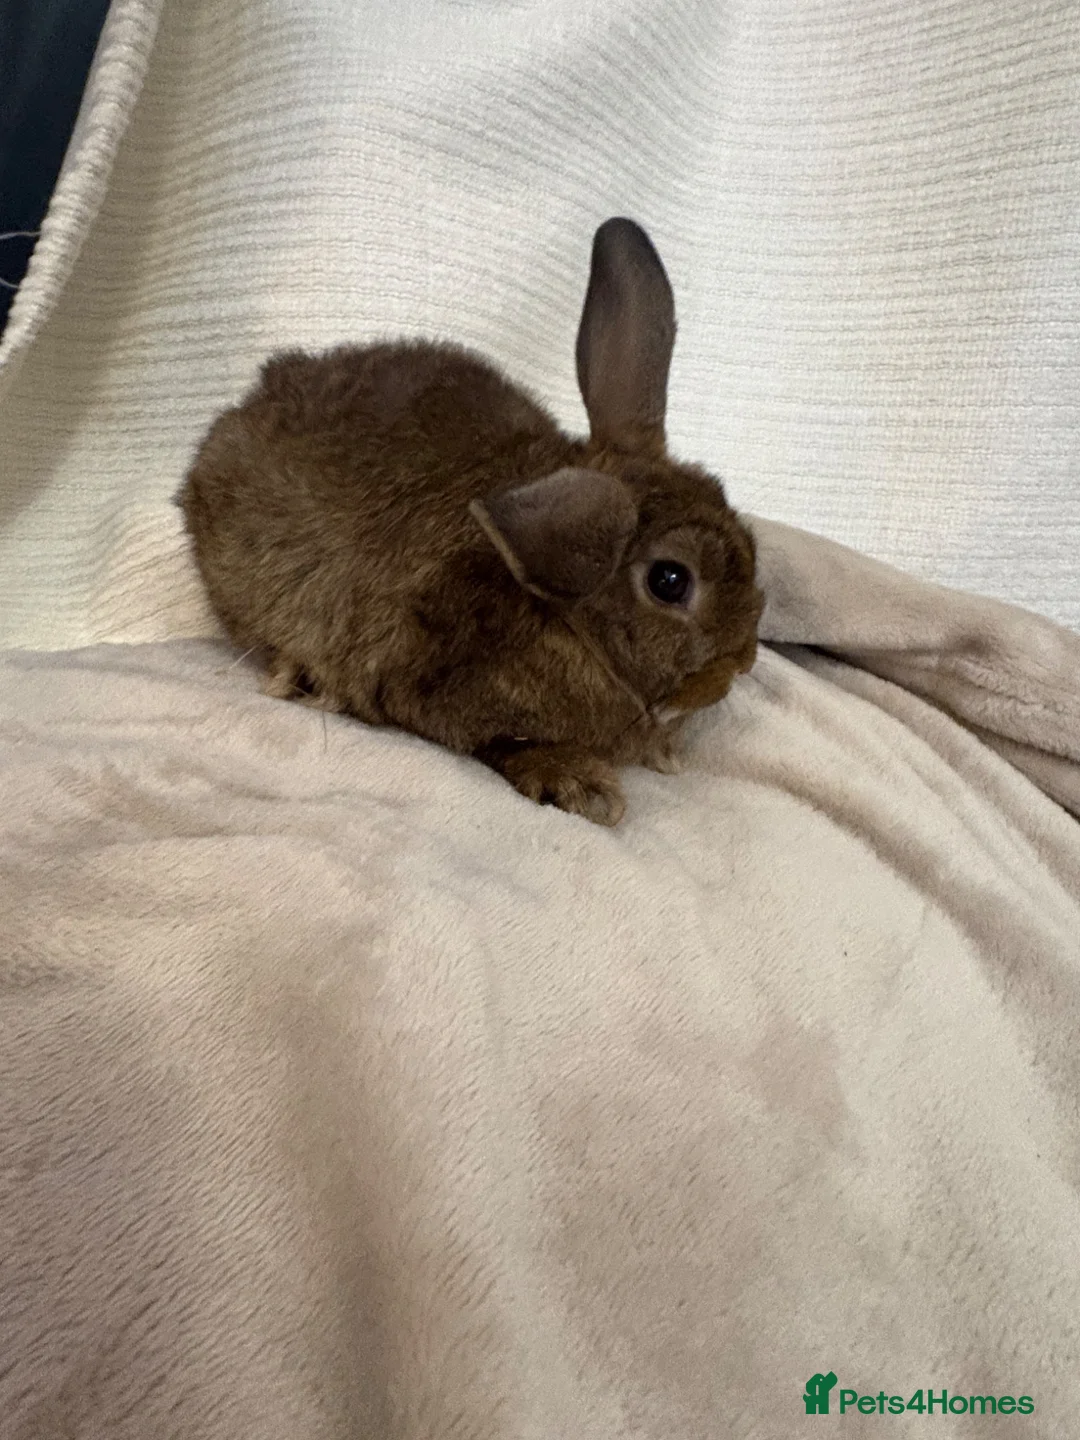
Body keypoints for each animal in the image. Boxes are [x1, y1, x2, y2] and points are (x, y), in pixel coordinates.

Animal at [178, 218, 763, 825]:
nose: (742, 663)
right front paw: (581, 783)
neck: (564, 617)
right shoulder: (435, 693)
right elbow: (501, 744)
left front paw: (662, 753)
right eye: (670, 581)